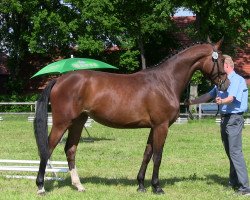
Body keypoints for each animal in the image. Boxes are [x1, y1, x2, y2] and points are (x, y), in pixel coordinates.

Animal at [34, 38, 229, 195]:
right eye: (221, 60)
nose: (225, 83)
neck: (165, 81)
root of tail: (60, 80)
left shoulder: (154, 127)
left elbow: (147, 154)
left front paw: (141, 184)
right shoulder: (161, 126)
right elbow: (158, 156)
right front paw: (157, 187)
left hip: (78, 122)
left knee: (70, 149)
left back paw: (79, 185)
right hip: (62, 123)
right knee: (47, 149)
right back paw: (41, 187)